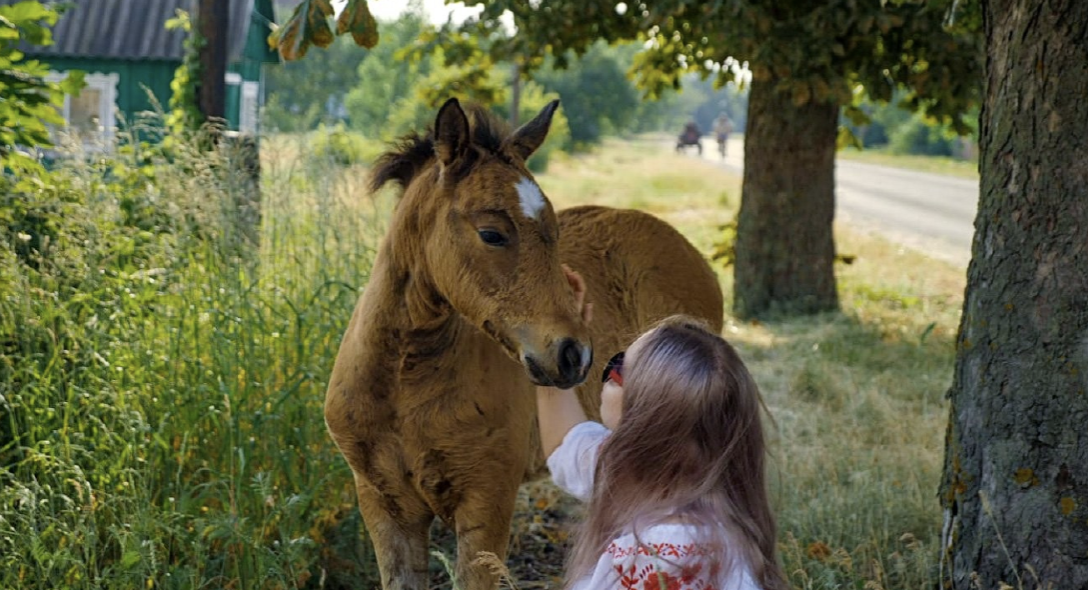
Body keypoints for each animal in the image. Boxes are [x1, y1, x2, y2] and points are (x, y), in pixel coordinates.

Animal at [324, 98, 724, 590]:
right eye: (491, 233)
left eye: (554, 231)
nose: (575, 356)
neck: (403, 382)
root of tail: (693, 252)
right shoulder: (383, 504)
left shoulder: (487, 497)